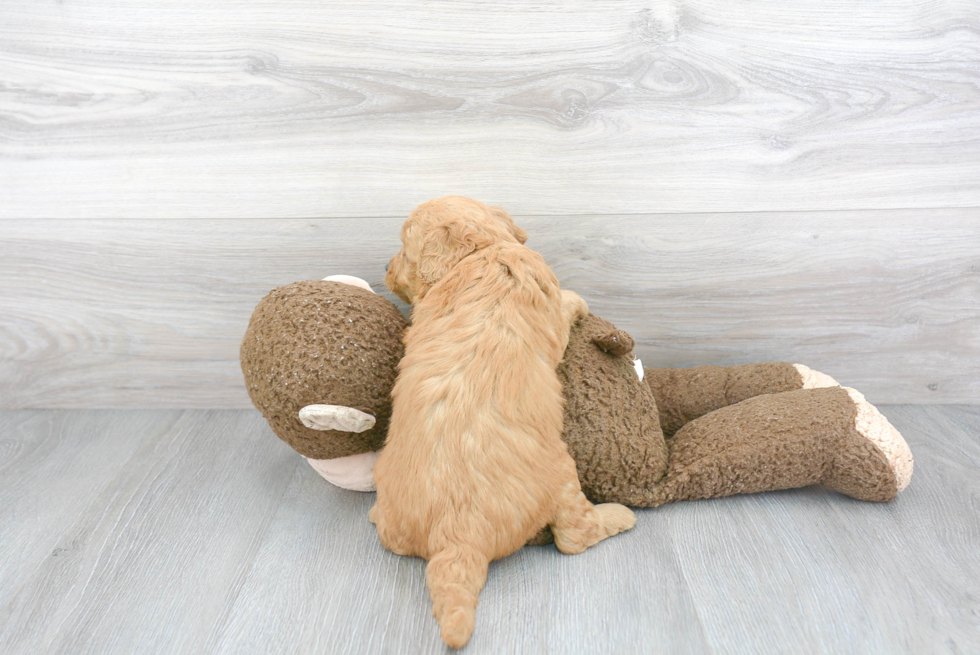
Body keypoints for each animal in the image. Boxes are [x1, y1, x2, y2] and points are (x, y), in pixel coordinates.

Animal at [370, 196, 636, 652]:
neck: (483, 251)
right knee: (573, 537)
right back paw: (618, 516)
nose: (386, 268)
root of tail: (455, 534)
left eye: (404, 249)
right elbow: (566, 303)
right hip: (561, 473)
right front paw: (579, 301)